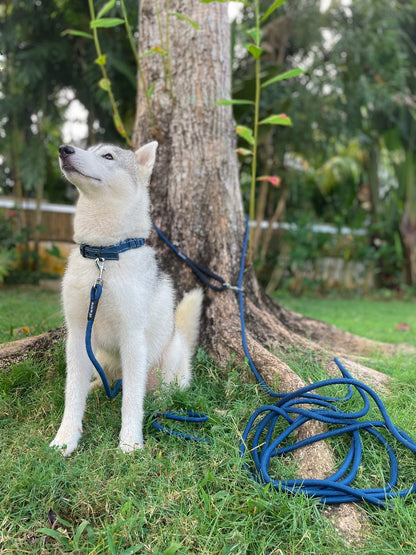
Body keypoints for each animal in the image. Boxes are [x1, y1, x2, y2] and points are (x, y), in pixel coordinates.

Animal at [49, 140, 202, 456]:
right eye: (87, 148)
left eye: (108, 156)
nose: (64, 149)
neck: (102, 257)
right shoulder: (78, 334)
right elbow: (72, 395)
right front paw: (66, 438)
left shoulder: (133, 338)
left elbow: (131, 400)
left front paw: (130, 441)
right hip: (98, 356)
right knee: (104, 381)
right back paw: (96, 388)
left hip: (170, 354)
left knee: (159, 389)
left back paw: (160, 401)